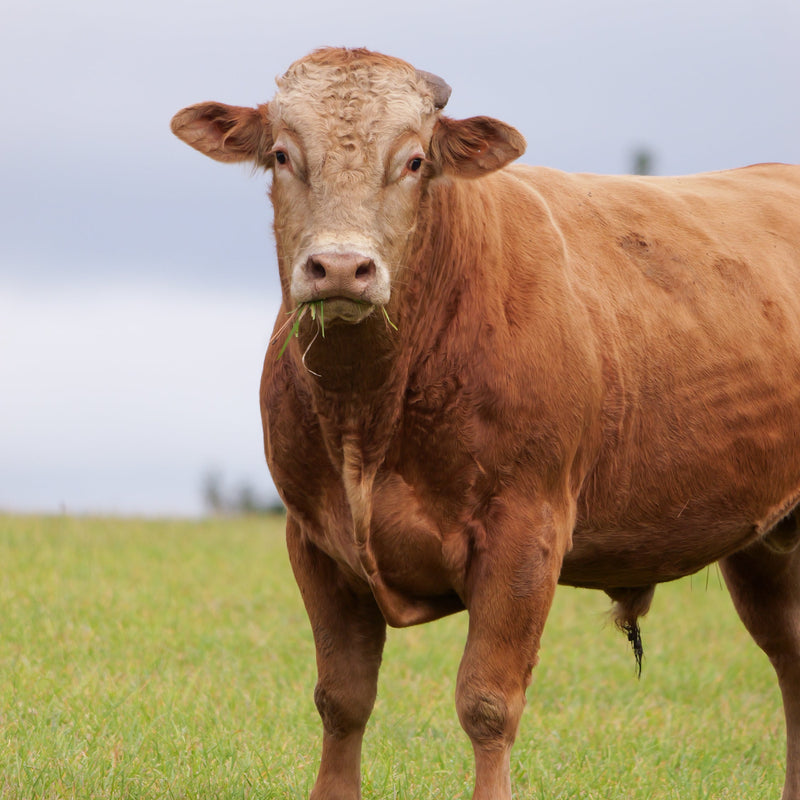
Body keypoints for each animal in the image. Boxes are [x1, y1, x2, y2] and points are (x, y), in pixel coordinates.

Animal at [171, 47, 800, 800]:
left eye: (414, 160)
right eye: (282, 154)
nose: (342, 267)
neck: (367, 417)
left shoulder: (525, 530)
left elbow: (488, 703)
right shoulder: (313, 538)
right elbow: (342, 698)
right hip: (766, 546)